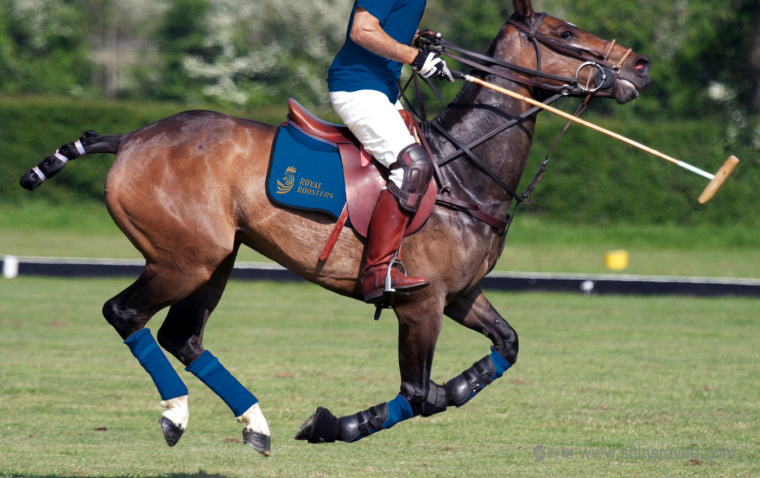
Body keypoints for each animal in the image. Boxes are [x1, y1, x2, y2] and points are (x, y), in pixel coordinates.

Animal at [19, 0, 650, 456]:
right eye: (565, 31)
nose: (638, 66)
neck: (464, 172)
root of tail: (132, 138)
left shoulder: (460, 295)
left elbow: (506, 347)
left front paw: (456, 385)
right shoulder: (420, 303)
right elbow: (418, 395)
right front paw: (333, 425)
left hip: (216, 259)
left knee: (183, 336)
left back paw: (256, 425)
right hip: (182, 258)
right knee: (125, 313)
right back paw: (176, 414)